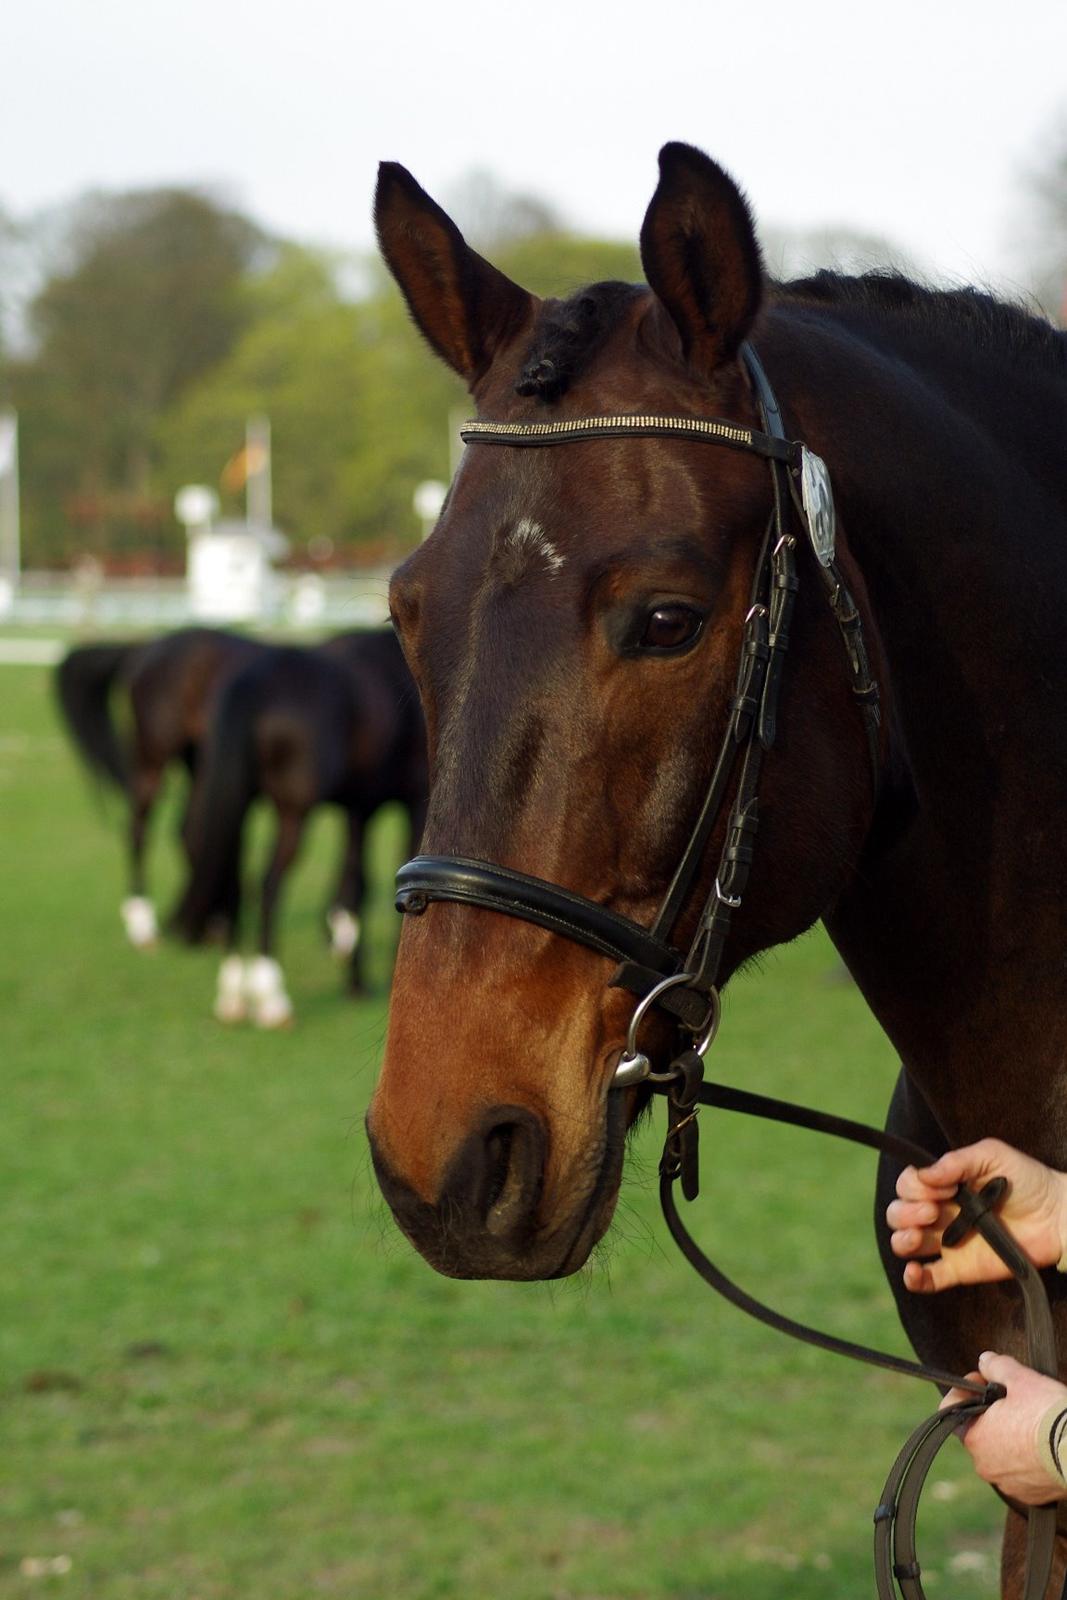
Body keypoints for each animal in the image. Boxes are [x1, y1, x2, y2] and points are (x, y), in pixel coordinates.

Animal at [174, 627, 425, 1024]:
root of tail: (256, 680)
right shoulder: (414, 800)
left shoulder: (360, 808)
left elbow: (355, 884)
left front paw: (355, 979)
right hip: (294, 814)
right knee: (269, 885)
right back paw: (271, 996)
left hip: (240, 803)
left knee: (232, 881)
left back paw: (233, 994)